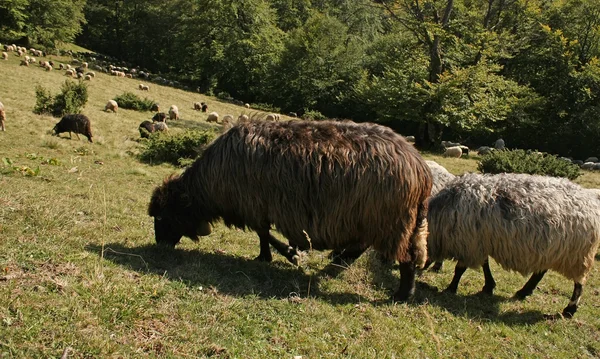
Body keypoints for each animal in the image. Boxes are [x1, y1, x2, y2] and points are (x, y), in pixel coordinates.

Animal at [148, 119, 434, 302]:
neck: (209, 185)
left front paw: (285, 254)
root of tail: (420, 169)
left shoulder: (254, 205)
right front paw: (283, 253)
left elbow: (264, 234)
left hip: (389, 220)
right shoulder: (257, 206)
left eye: (162, 216)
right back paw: (338, 263)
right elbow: (264, 234)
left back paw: (402, 294)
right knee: (366, 246)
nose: (159, 246)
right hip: (378, 218)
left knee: (405, 257)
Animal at [426, 174, 600, 318]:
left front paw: (451, 288)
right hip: (550, 250)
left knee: (579, 283)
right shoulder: (481, 243)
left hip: (578, 254)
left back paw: (569, 310)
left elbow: (460, 269)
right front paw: (488, 286)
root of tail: (590, 200)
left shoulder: (469, 244)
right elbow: (484, 265)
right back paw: (524, 292)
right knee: (541, 271)